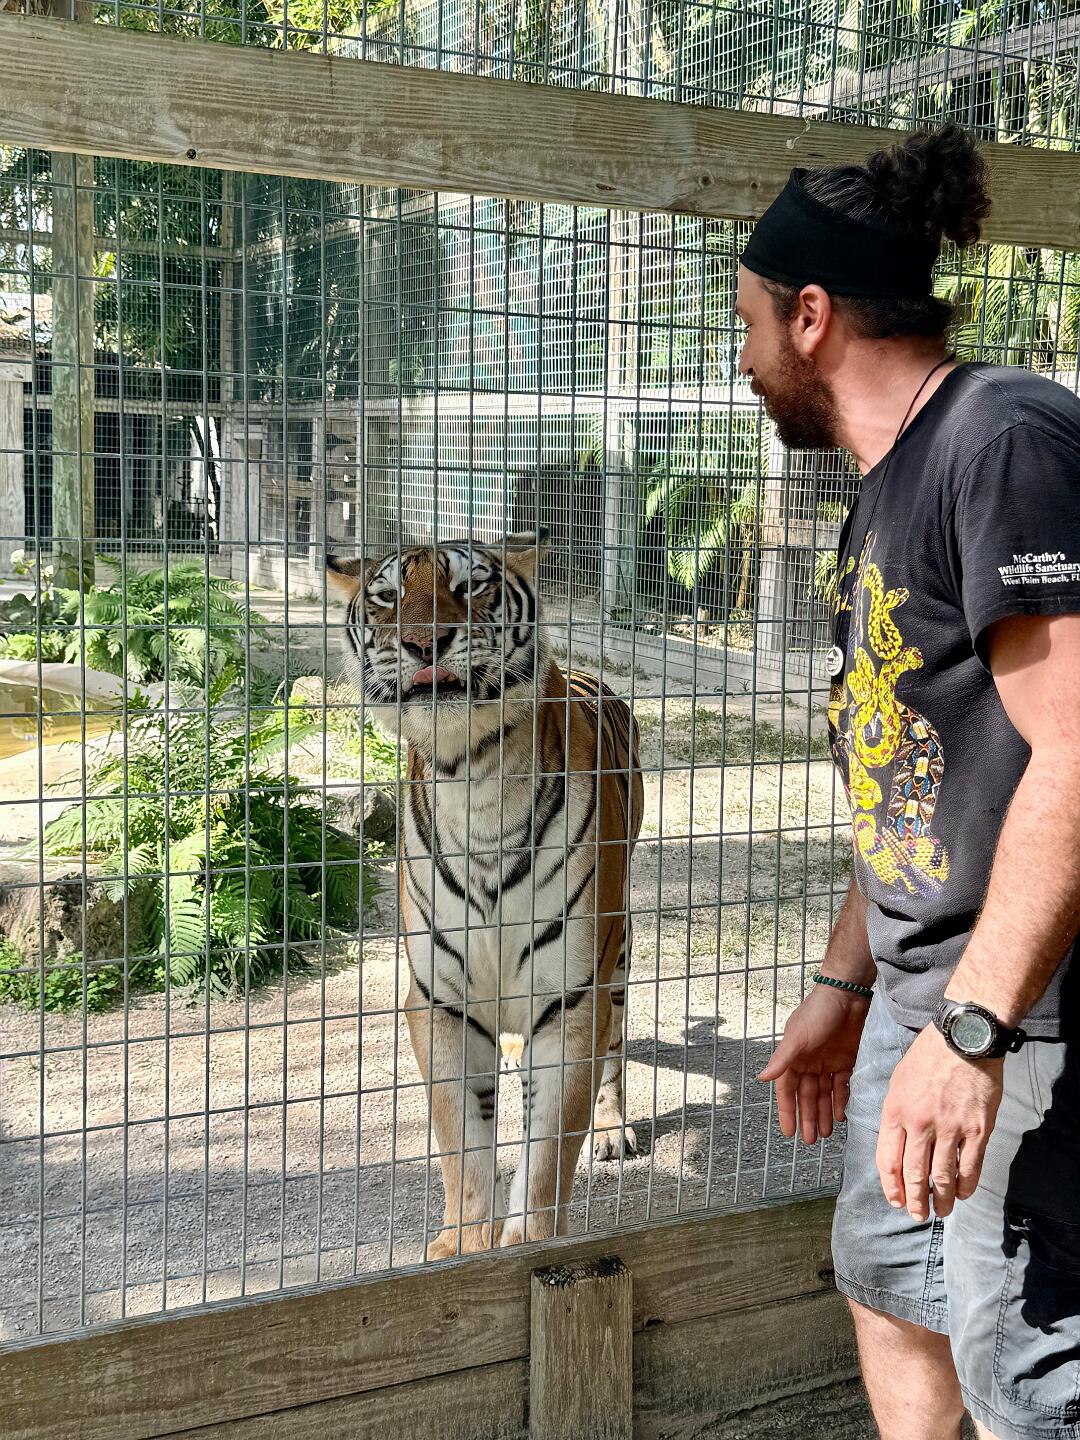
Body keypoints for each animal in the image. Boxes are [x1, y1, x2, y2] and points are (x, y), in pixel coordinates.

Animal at [327, 533, 643, 1257]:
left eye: (470, 587)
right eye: (386, 597)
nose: (423, 642)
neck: (474, 780)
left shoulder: (570, 999)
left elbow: (548, 1146)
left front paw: (529, 1242)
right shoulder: (441, 1003)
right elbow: (463, 1140)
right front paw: (463, 1245)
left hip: (616, 957)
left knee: (614, 1049)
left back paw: (613, 1130)